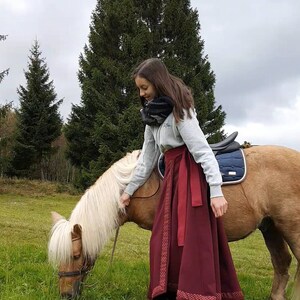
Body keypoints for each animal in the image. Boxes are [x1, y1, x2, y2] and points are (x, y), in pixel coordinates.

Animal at [48, 144, 300, 298]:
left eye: (76, 255)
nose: (66, 295)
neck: (138, 184)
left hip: (291, 227)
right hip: (271, 228)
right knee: (282, 263)